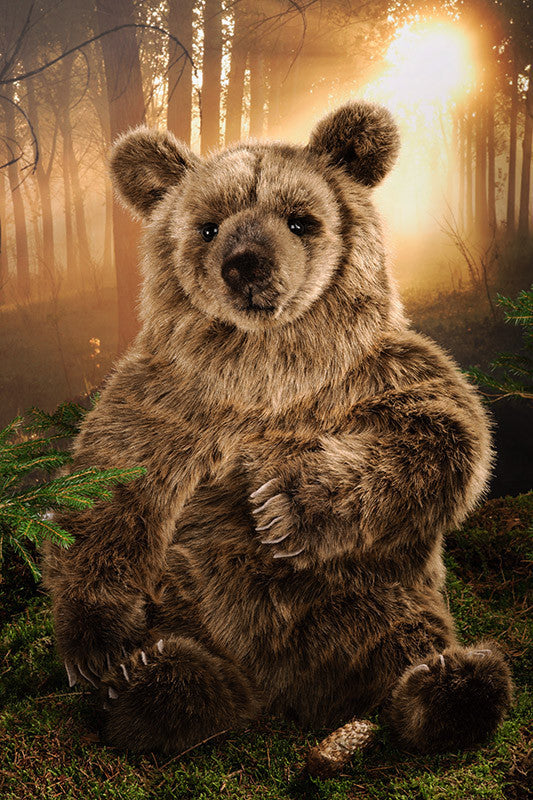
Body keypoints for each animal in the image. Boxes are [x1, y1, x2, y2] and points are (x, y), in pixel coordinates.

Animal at [42, 101, 512, 756]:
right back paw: (152, 679)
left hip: (367, 594)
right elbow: (107, 486)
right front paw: (94, 647)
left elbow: (444, 437)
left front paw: (282, 506)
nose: (246, 264)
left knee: (401, 641)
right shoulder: (167, 397)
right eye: (209, 226)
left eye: (299, 220)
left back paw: (451, 686)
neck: (266, 365)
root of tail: (284, 694)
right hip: (190, 590)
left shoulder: (375, 372)